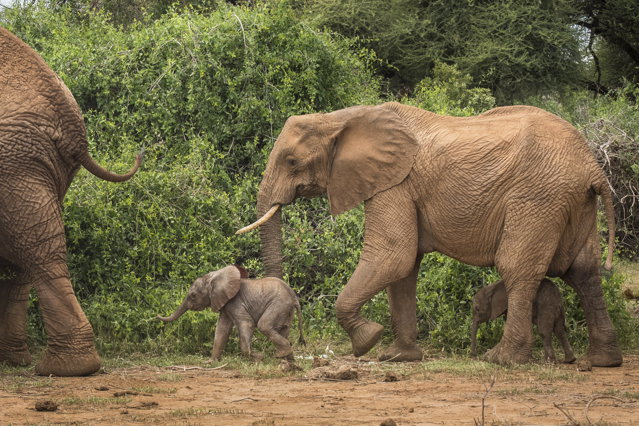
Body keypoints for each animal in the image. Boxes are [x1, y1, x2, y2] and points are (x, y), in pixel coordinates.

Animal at [156, 266, 304, 360]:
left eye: (193, 295)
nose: (156, 316)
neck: (213, 278)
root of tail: (294, 297)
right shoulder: (225, 304)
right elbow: (222, 329)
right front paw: (211, 362)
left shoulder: (235, 302)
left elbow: (247, 324)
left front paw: (258, 357)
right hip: (285, 310)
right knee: (284, 330)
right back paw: (289, 361)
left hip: (279, 304)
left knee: (264, 325)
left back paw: (280, 355)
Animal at [238, 100, 624, 366]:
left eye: (290, 161)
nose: (289, 348)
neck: (342, 118)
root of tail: (593, 167)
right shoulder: (396, 184)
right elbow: (404, 268)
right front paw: (398, 356)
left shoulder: (394, 184)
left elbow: (393, 255)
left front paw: (368, 340)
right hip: (573, 202)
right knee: (584, 272)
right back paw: (602, 361)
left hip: (539, 198)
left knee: (518, 269)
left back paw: (502, 359)